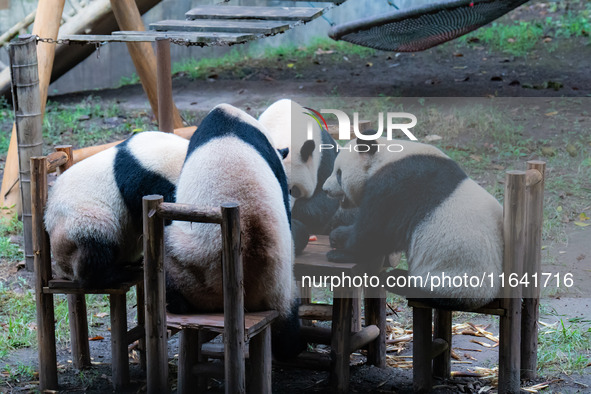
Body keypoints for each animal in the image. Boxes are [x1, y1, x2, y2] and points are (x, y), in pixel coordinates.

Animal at [324, 137, 504, 310]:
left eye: (339, 173)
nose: (325, 189)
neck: (386, 157)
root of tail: (488, 297)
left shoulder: (396, 186)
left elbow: (376, 232)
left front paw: (339, 247)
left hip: (452, 278)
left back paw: (396, 278)